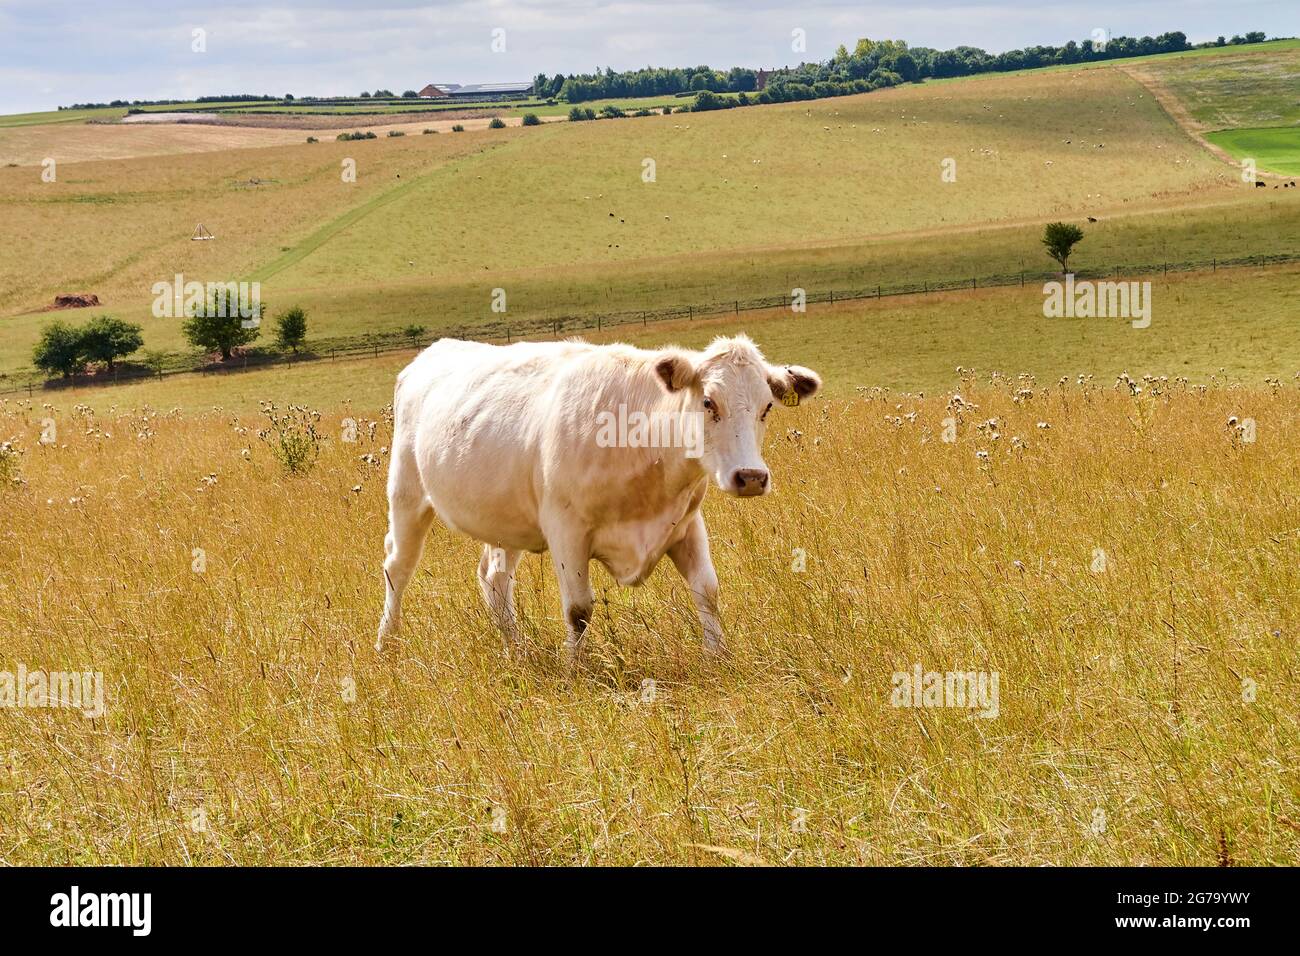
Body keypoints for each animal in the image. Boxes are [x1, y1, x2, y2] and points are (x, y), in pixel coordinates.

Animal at [376, 335, 821, 663]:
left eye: (766, 407)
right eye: (709, 402)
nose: (751, 477)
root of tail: (435, 351)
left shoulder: (686, 525)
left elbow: (707, 591)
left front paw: (718, 657)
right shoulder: (566, 531)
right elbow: (578, 610)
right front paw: (575, 670)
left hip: (505, 519)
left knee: (494, 577)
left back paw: (515, 649)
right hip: (406, 494)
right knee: (398, 568)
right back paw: (387, 644)